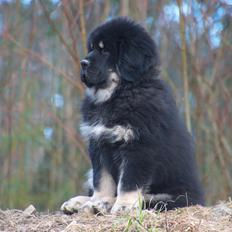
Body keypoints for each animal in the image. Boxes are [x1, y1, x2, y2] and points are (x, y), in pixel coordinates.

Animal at [60, 17, 204, 215]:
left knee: (150, 198)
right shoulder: (99, 143)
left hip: (178, 197)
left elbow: (128, 182)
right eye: (91, 48)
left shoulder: (139, 146)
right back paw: (83, 202)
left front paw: (123, 206)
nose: (83, 63)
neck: (118, 94)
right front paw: (96, 201)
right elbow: (101, 180)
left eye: (105, 50)